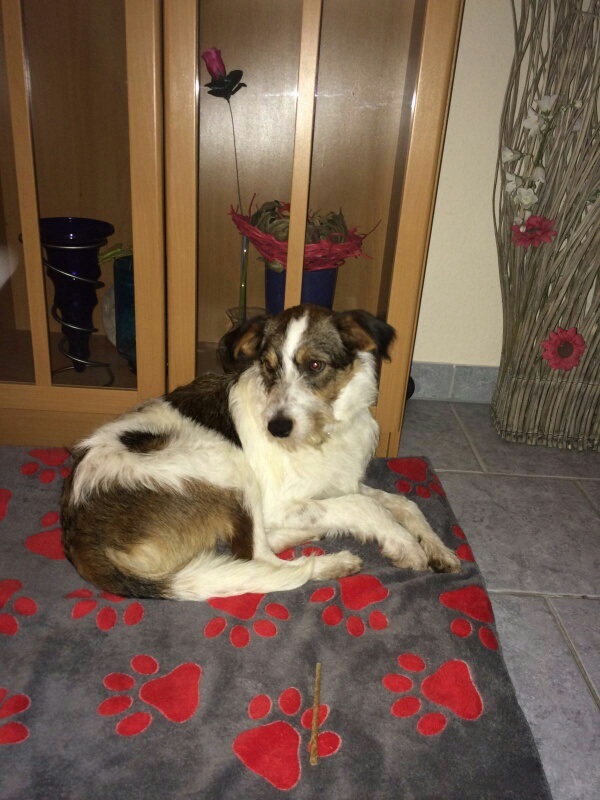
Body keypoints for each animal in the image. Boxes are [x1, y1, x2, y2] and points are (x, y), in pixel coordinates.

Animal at [60, 304, 460, 600]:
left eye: (315, 365)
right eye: (268, 366)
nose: (277, 428)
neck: (326, 432)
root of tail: (79, 532)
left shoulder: (338, 484)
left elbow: (403, 503)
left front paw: (438, 548)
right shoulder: (279, 502)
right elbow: (366, 506)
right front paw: (405, 544)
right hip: (225, 464)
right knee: (256, 557)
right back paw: (329, 563)